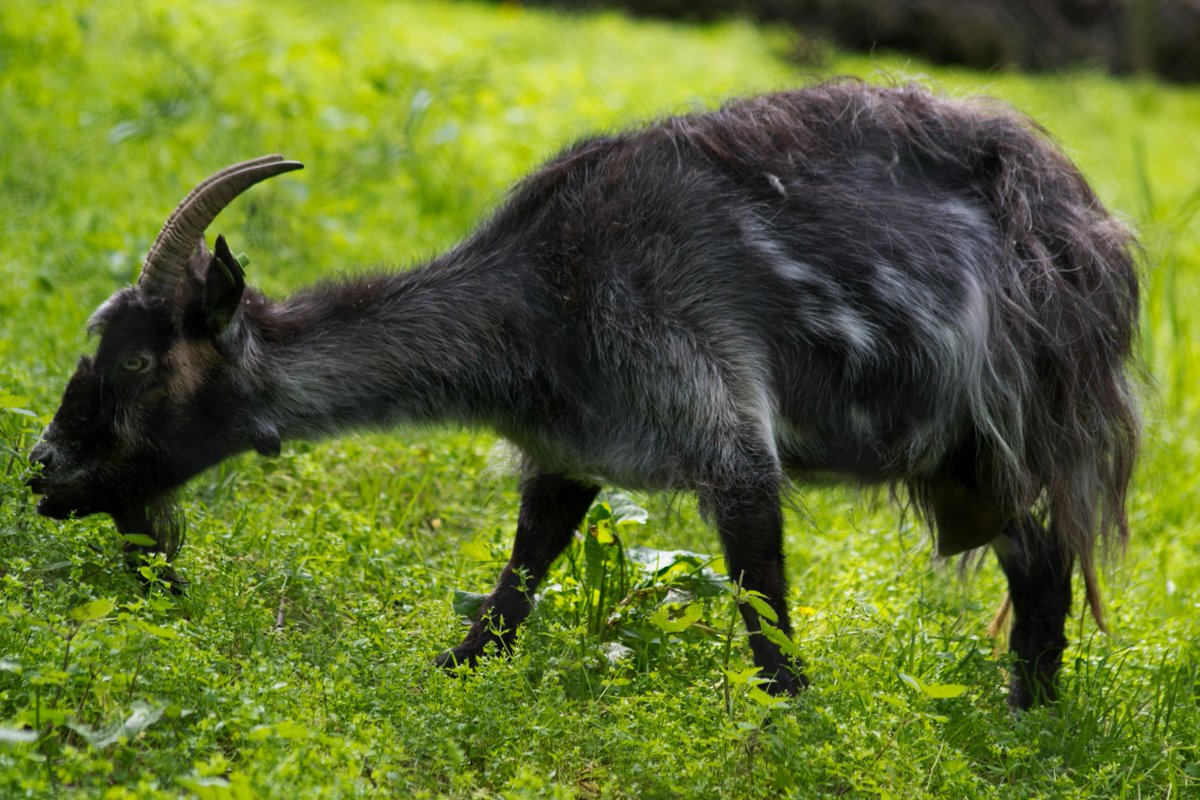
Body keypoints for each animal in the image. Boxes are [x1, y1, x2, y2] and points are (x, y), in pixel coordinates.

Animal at [28, 81, 1139, 708]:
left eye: (136, 364)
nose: (43, 470)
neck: (546, 293)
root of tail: (1087, 222)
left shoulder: (722, 424)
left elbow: (765, 617)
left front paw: (796, 727)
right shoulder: (566, 457)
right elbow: (516, 582)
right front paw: (445, 677)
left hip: (1018, 426)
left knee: (1046, 572)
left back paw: (1022, 726)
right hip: (967, 463)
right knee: (1040, 573)